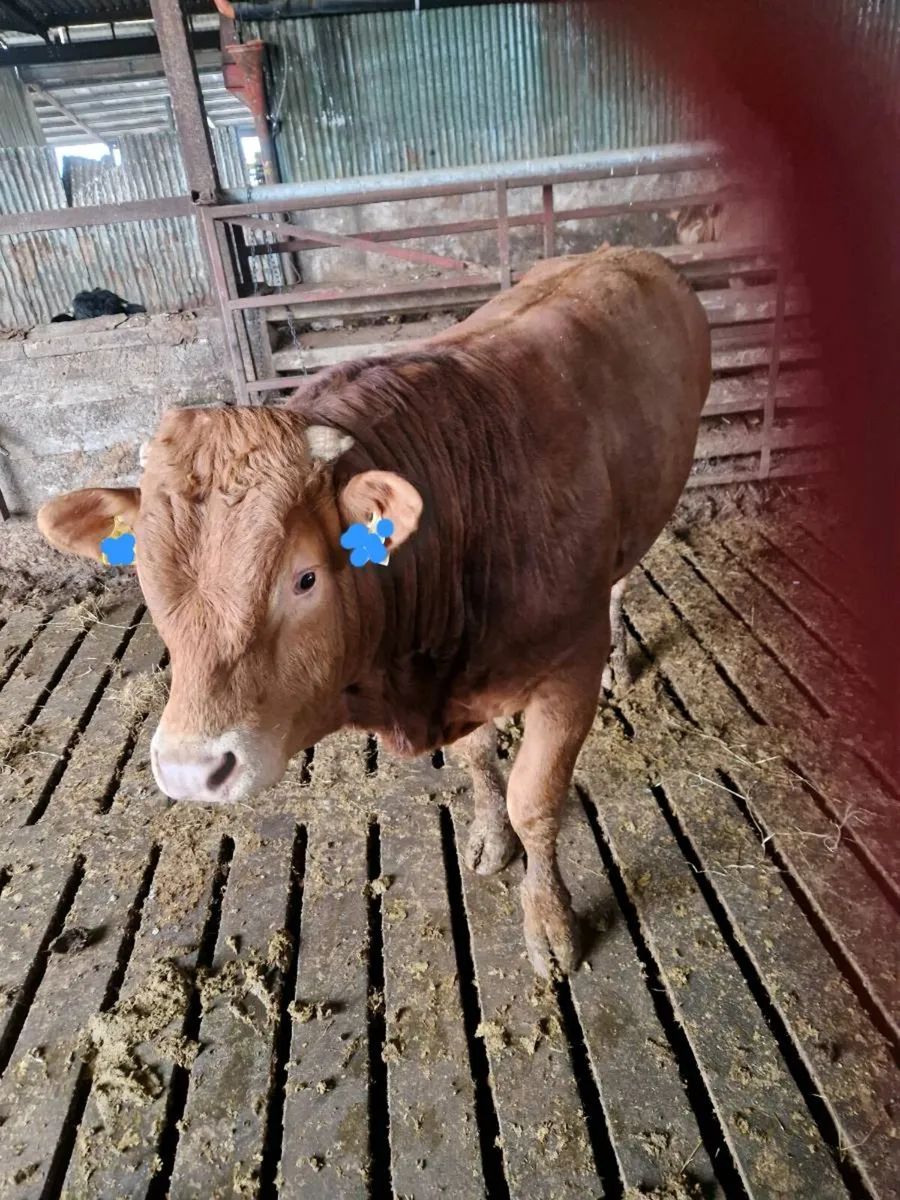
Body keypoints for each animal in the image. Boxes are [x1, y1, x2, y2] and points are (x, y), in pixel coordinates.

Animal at [36, 246, 711, 977]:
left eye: (304, 578)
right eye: (147, 576)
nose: (192, 771)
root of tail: (624, 253)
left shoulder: (567, 672)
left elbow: (534, 801)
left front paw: (551, 923)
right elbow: (480, 761)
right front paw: (489, 838)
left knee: (622, 577)